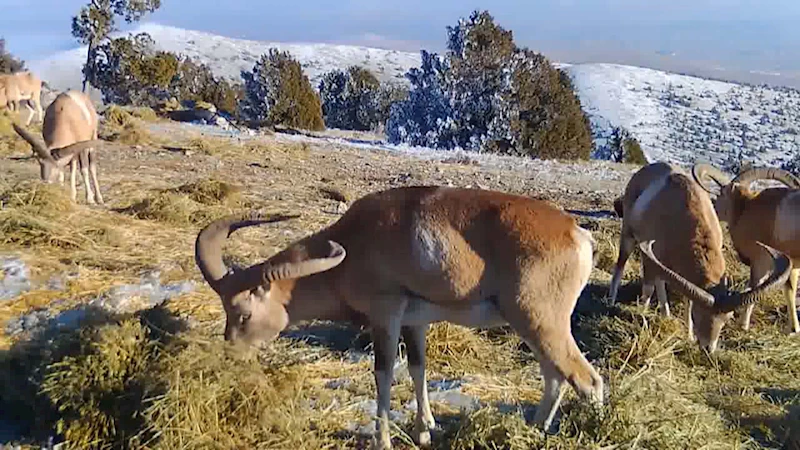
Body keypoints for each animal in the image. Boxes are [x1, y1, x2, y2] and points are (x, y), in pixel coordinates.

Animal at [195, 185, 608, 448]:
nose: (229, 357)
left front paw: (383, 440)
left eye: (243, 314)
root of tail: (577, 235)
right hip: (536, 327)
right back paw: (534, 430)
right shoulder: (415, 322)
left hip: (540, 323)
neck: (358, 241)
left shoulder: (386, 316)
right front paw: (425, 430)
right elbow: (417, 367)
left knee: (587, 380)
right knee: (556, 377)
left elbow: (383, 373)